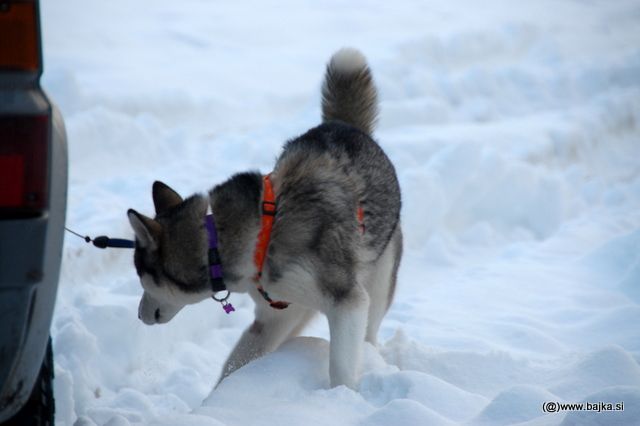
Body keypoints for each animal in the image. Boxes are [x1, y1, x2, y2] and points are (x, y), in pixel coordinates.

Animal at [127, 47, 402, 390]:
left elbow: (341, 366)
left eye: (142, 278)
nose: (139, 315)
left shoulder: (347, 302)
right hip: (297, 307)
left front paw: (341, 396)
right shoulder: (274, 312)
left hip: (378, 280)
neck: (257, 236)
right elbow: (235, 364)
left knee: (370, 331)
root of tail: (343, 125)